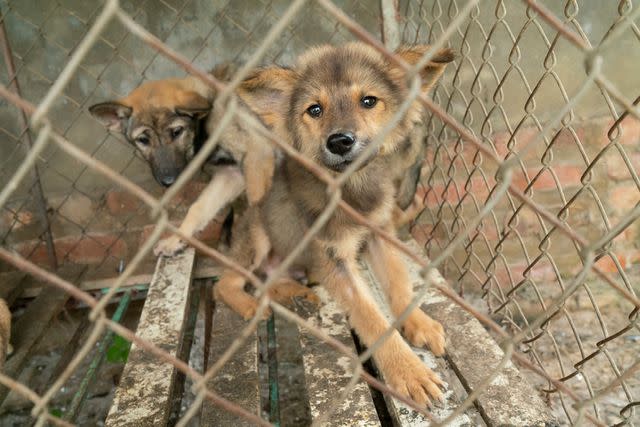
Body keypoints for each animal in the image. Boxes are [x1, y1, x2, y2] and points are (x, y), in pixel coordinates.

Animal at [215, 43, 456, 408]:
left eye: (368, 101)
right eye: (314, 110)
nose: (340, 141)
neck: (351, 189)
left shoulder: (378, 235)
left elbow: (399, 285)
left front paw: (420, 323)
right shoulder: (333, 259)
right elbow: (371, 317)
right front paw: (408, 371)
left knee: (267, 280)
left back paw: (296, 294)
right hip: (258, 235)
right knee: (225, 283)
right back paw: (249, 305)